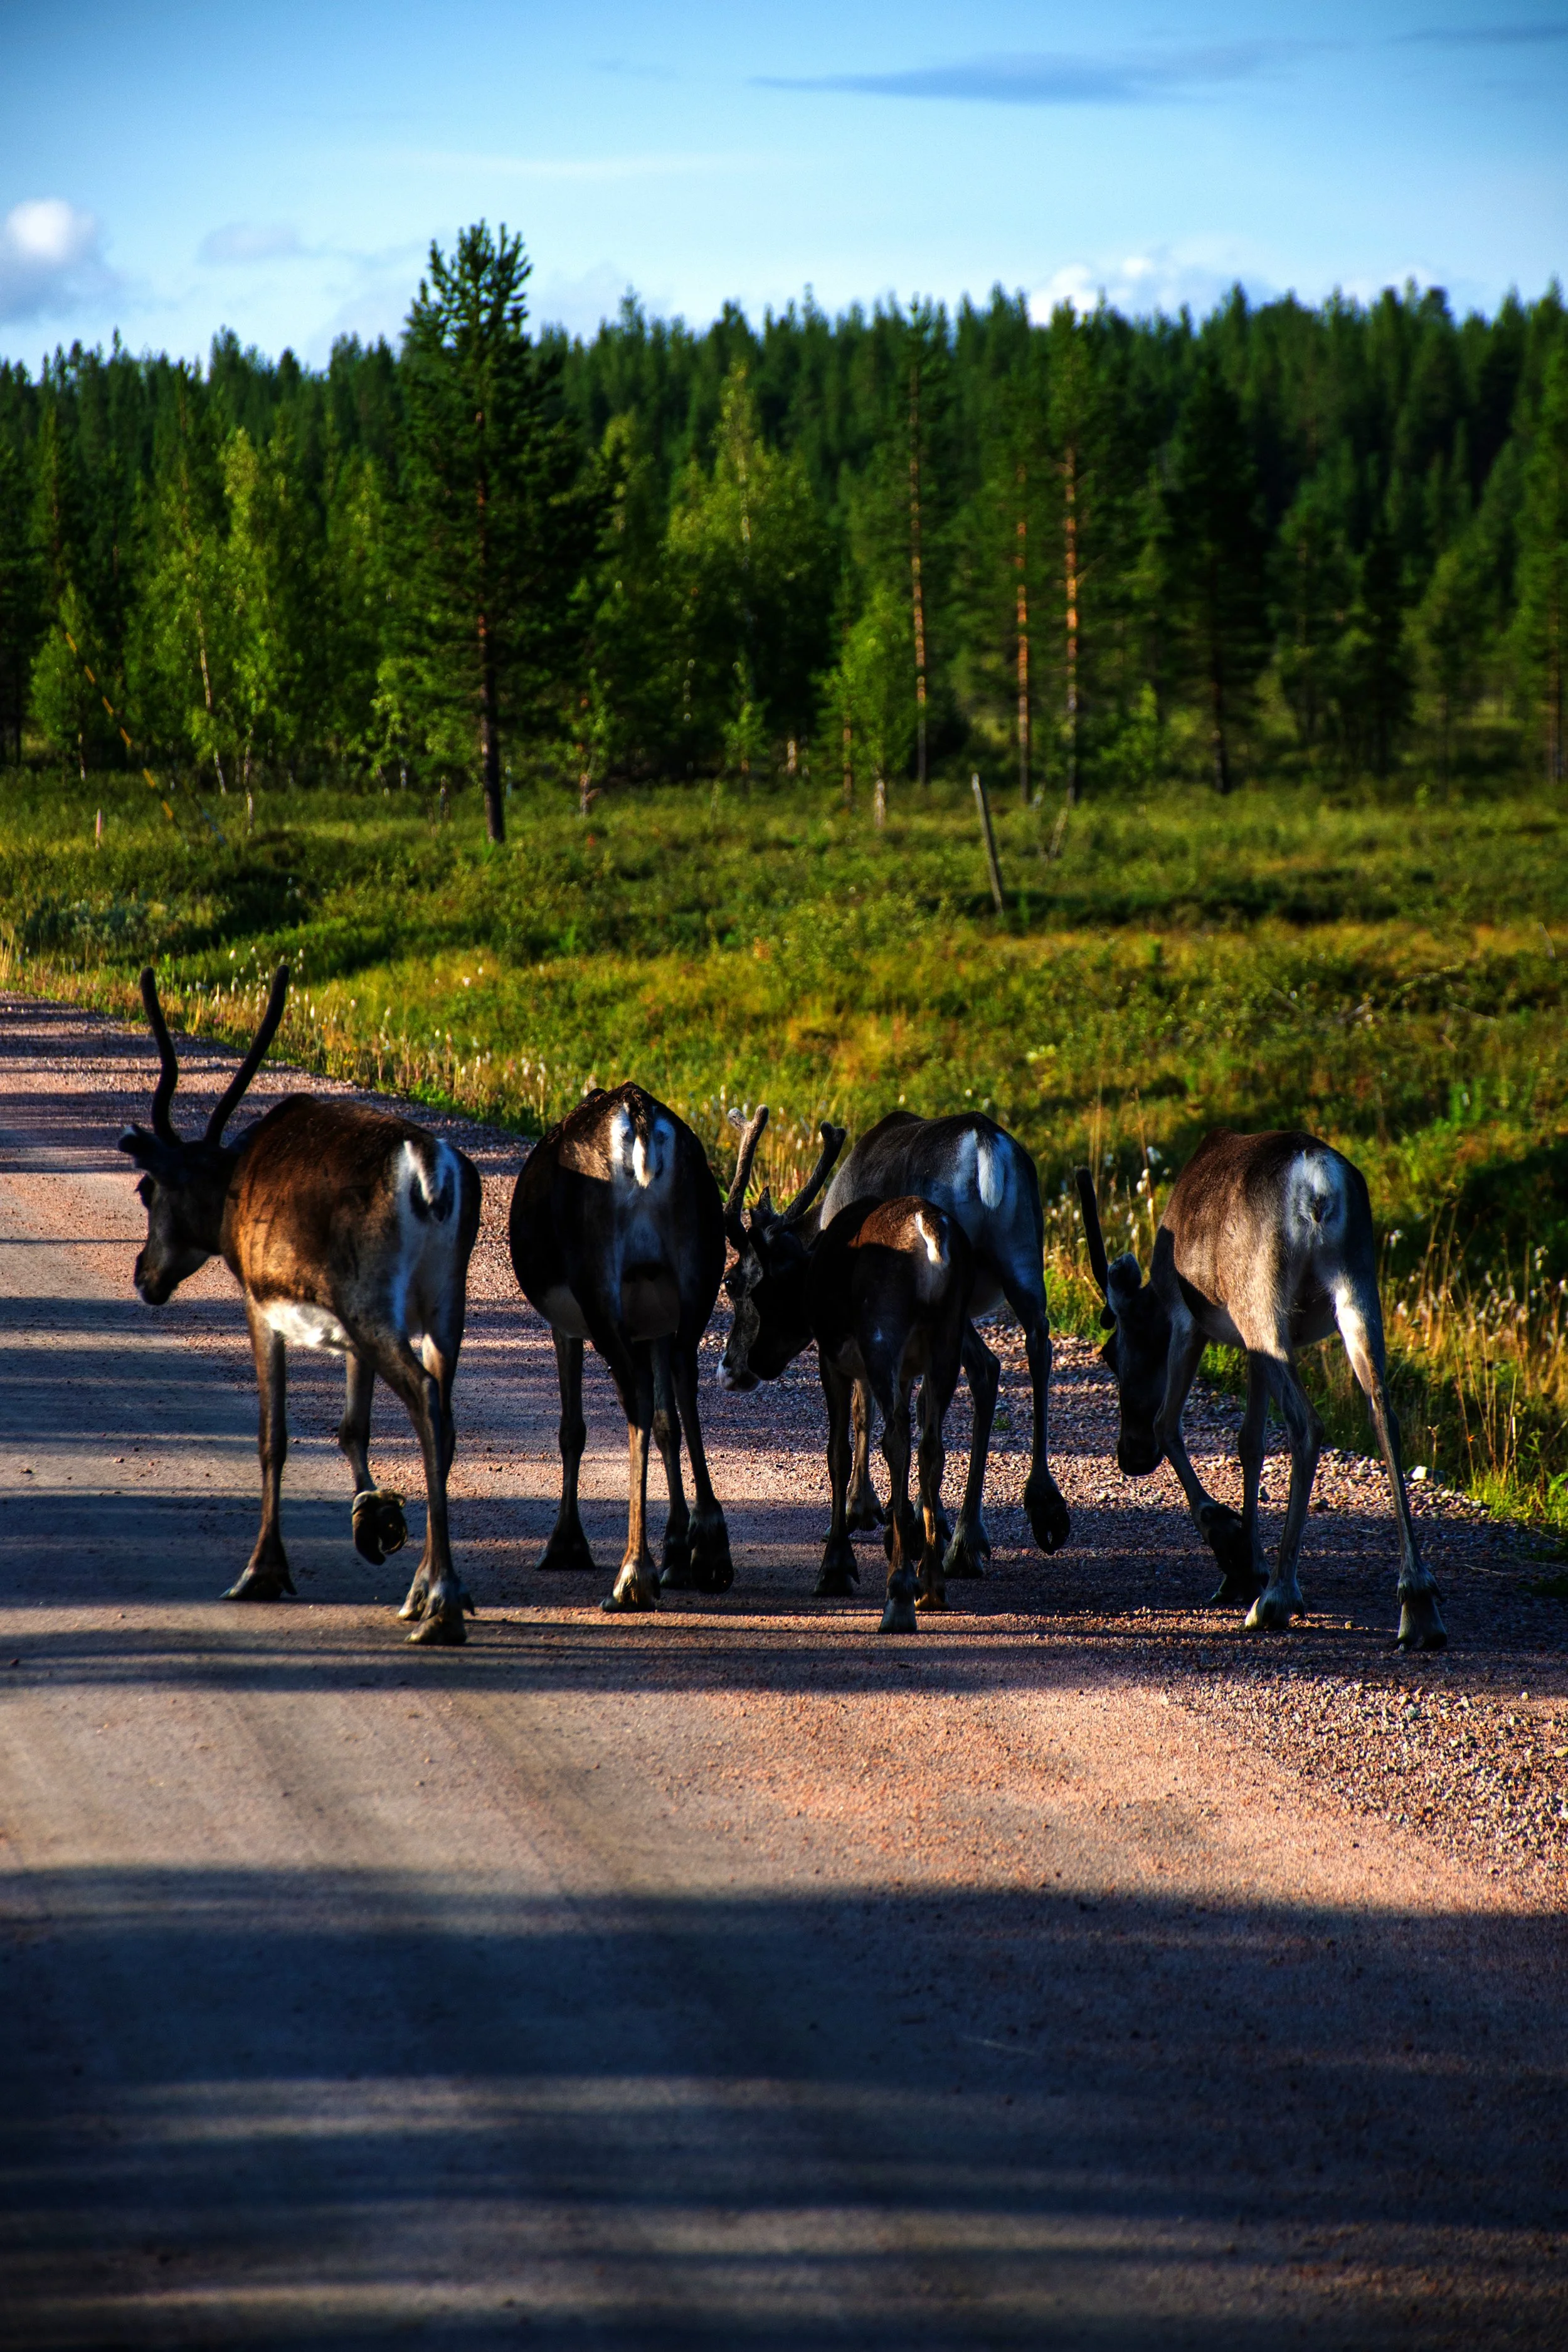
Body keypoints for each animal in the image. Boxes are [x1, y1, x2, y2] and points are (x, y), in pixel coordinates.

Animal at [118, 964, 482, 1645]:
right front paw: (373, 1517)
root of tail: (432, 1174)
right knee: (443, 1414)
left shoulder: (262, 1306)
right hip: (443, 1306)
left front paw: (261, 1571)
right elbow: (351, 1427)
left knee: (425, 1399)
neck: (230, 1193)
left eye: (146, 1189)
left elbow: (274, 1436)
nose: (143, 1275)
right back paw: (427, 1589)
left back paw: (441, 1603)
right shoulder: (349, 1336)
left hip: (375, 1302)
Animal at [507, 1082, 733, 1612]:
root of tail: (641, 1119)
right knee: (686, 1383)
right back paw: (710, 1549)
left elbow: (572, 1430)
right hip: (699, 1272)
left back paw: (633, 1574)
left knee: (635, 1400)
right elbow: (669, 1424)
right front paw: (678, 1548)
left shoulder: (565, 1324)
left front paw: (565, 1543)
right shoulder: (655, 1325)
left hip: (597, 1286)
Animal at [718, 1109, 974, 1631]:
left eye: (732, 1281)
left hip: (882, 1336)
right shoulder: (906, 1368)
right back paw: (931, 1585)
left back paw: (899, 1595)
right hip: (947, 1343)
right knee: (930, 1445)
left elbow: (837, 1451)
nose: (733, 1367)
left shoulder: (831, 1357)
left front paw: (835, 1566)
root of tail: (934, 1238)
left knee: (897, 1437)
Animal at [721, 1107, 1072, 1578]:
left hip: (955, 1299)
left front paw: (863, 1507)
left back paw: (961, 1536)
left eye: (733, 1282)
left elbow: (864, 1405)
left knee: (984, 1367)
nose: (734, 1367)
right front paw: (909, 1515)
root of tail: (986, 1147)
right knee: (1034, 1347)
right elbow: (909, 1402)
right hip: (1023, 1259)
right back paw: (1023, 1514)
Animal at [1075, 1129, 1445, 1650]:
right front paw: (1246, 1563)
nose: (1130, 1456)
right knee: (1383, 1412)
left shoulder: (1186, 1321)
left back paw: (1278, 1597)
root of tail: (1318, 1187)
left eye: (1110, 1353)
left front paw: (1229, 1542)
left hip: (1261, 1299)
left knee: (1306, 1423)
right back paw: (1418, 1602)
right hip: (1356, 1287)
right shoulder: (1252, 1352)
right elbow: (1249, 1441)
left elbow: (1167, 1424)